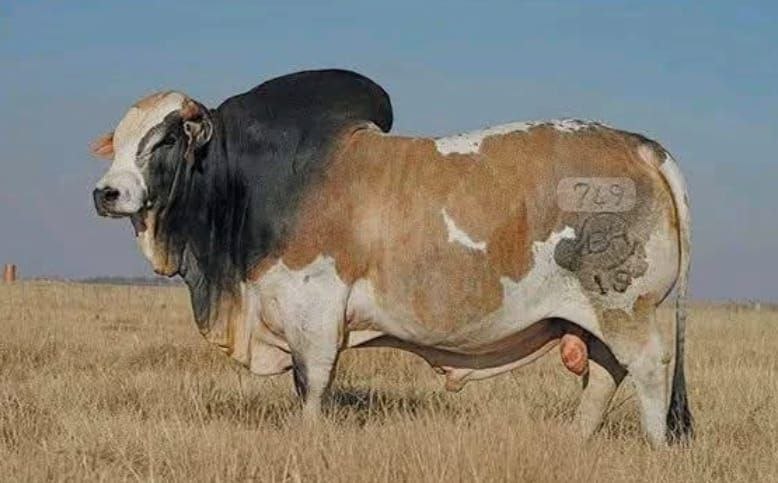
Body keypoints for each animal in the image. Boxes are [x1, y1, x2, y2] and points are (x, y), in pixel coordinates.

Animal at [91, 69, 692, 446]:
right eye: (118, 140)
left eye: (167, 139)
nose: (107, 193)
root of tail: (639, 146)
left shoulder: (313, 309)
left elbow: (312, 384)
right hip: (596, 318)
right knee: (604, 376)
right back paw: (574, 440)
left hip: (625, 308)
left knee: (648, 369)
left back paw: (654, 448)